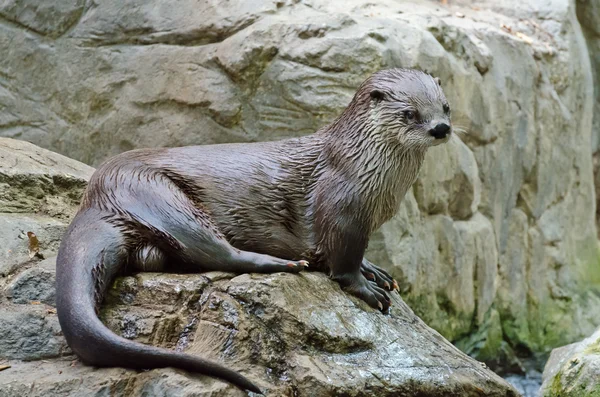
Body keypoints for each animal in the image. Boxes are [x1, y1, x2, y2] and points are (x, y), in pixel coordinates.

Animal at [56, 66, 452, 392]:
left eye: (446, 106)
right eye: (410, 113)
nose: (441, 128)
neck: (363, 165)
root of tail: (96, 199)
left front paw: (375, 271)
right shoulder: (343, 211)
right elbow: (342, 265)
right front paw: (367, 288)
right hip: (160, 198)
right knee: (217, 253)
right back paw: (283, 263)